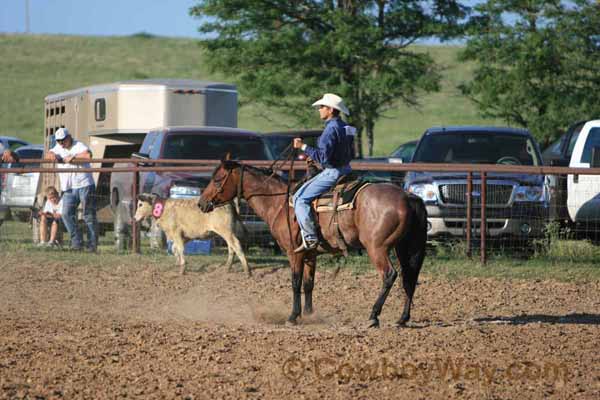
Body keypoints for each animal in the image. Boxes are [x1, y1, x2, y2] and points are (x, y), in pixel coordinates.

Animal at [199, 159, 428, 328]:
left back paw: (373, 316)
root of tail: (408, 196)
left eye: (217, 180)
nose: (201, 203)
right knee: (409, 279)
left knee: (389, 275)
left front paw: (293, 317)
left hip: (376, 248)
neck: (279, 203)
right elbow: (309, 284)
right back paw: (402, 319)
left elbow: (295, 282)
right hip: (404, 248)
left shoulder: (294, 253)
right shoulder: (310, 254)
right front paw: (309, 315)